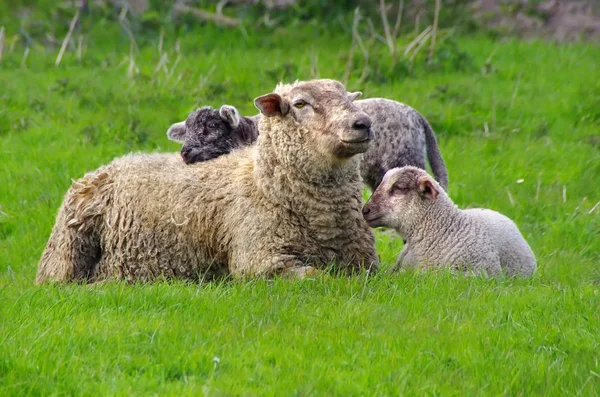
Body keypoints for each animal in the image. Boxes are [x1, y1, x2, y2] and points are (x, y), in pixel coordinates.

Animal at [35, 78, 378, 282]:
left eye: (348, 99)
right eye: (301, 104)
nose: (363, 123)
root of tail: (115, 162)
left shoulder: (365, 261)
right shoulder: (259, 260)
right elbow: (318, 276)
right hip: (64, 253)